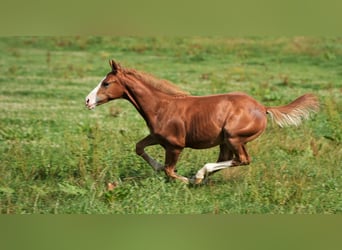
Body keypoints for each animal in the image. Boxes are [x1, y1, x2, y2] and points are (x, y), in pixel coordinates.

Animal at [84, 58, 320, 184]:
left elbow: (170, 171)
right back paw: (203, 177)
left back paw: (198, 175)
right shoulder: (157, 137)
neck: (161, 106)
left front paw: (186, 180)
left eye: (106, 83)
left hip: (234, 137)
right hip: (226, 141)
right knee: (229, 159)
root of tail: (263, 108)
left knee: (242, 160)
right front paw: (160, 167)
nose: (87, 101)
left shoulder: (175, 145)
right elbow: (139, 147)